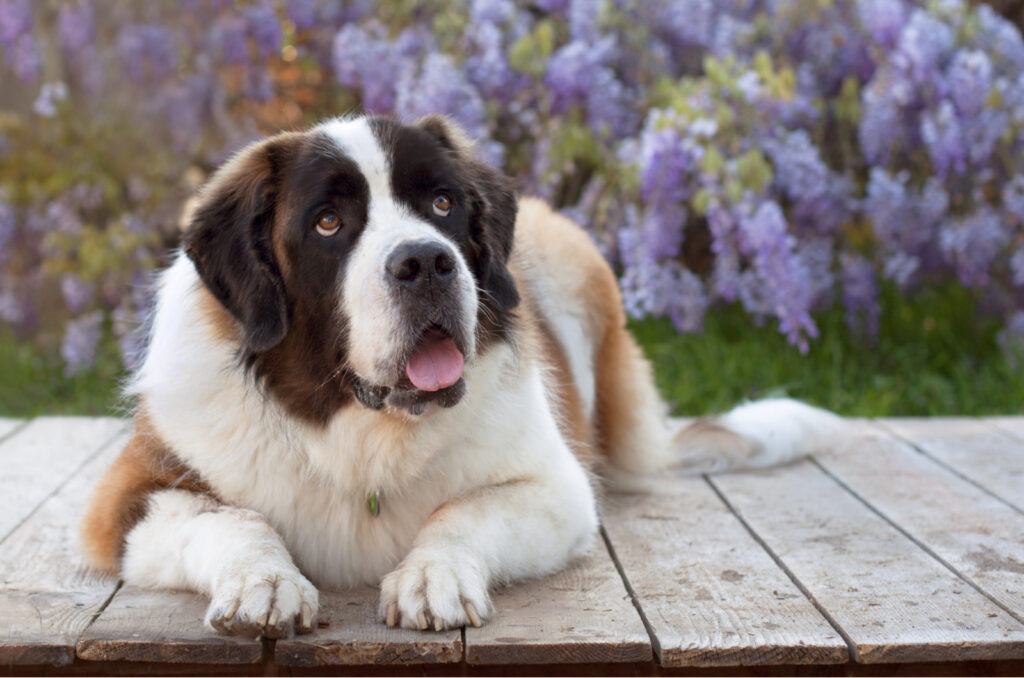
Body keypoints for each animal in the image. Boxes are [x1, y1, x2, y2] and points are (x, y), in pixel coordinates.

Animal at [79, 114, 843, 639]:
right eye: (327, 223)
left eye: (442, 204)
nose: (426, 262)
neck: (362, 425)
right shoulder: (128, 496)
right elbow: (231, 517)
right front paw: (263, 582)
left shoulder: (559, 488)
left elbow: (463, 510)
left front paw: (432, 575)